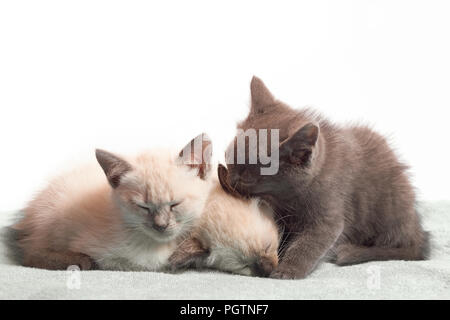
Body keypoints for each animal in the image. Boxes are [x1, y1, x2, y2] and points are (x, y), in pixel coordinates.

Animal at [7, 132, 213, 270]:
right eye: (143, 207)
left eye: (174, 204)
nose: (160, 226)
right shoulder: (113, 258)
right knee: (31, 254)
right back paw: (78, 261)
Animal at [220, 76, 430, 278]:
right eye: (228, 158)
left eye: (245, 179)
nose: (230, 180)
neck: (287, 198)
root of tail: (417, 229)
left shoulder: (329, 213)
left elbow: (309, 244)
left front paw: (288, 270)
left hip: (390, 206)